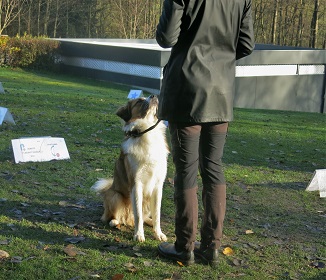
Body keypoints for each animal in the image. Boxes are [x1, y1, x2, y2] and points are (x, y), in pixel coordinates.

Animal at [91, 95, 168, 242]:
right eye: (139, 101)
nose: (154, 96)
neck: (145, 133)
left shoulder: (158, 185)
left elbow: (157, 213)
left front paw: (158, 233)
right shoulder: (136, 183)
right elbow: (137, 213)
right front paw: (139, 235)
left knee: (144, 216)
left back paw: (148, 221)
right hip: (114, 195)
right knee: (115, 216)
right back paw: (115, 221)